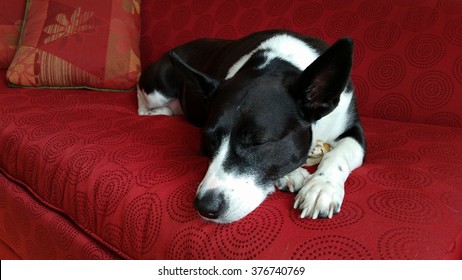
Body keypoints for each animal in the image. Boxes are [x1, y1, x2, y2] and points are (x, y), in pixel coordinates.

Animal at [137, 30, 364, 223]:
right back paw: (159, 112)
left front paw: (321, 187)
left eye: (259, 143)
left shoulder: (353, 125)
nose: (205, 207)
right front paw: (292, 174)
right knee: (141, 103)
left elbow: (340, 153)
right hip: (157, 89)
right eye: (210, 139)